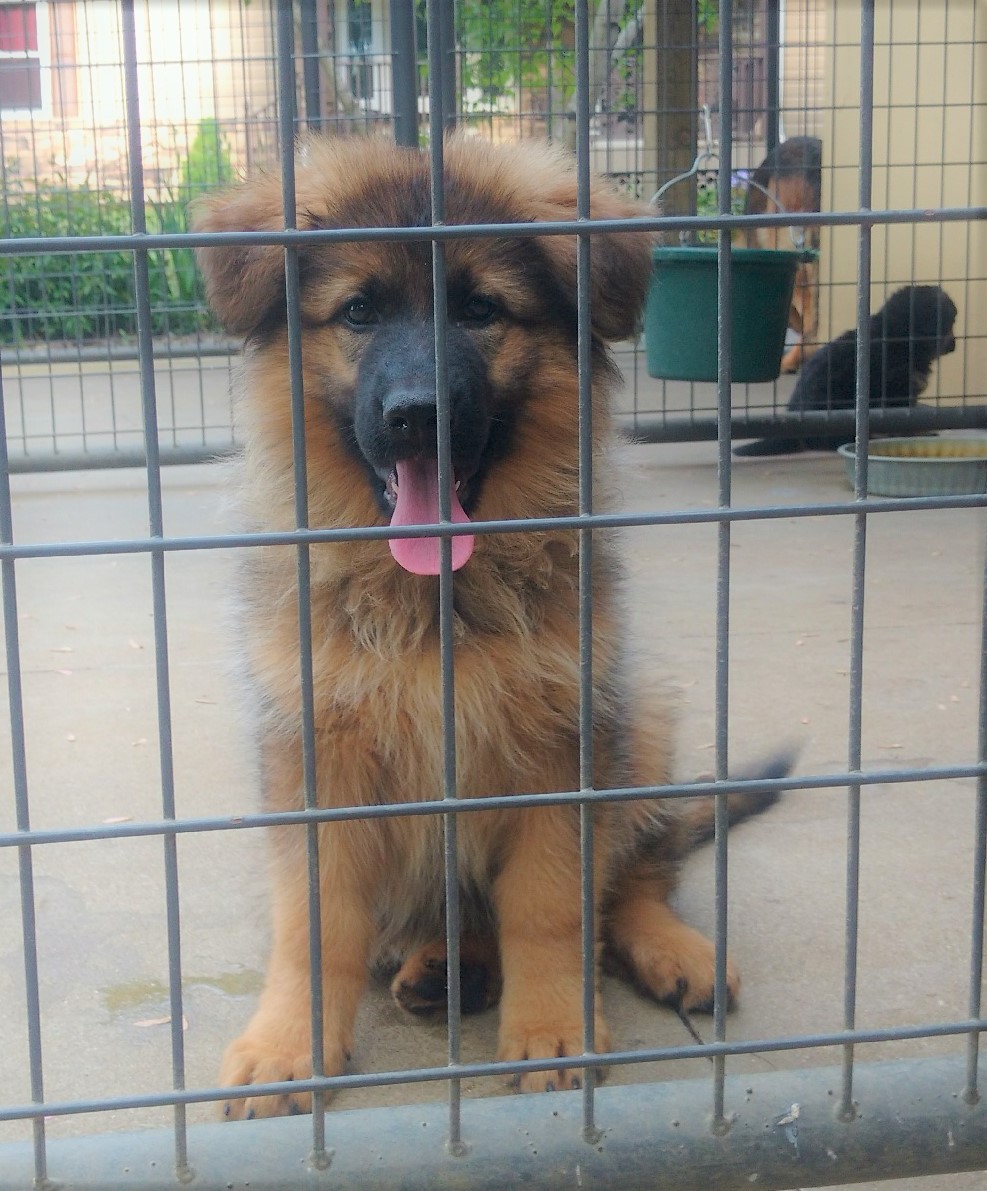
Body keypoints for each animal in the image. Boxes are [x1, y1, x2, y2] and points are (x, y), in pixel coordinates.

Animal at [192, 136, 789, 1119]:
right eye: (358, 311)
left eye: (480, 309)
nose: (417, 415)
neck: (436, 602)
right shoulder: (315, 754)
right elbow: (314, 919)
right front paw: (288, 1045)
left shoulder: (561, 743)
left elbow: (550, 904)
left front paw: (551, 1029)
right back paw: (446, 964)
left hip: (640, 717)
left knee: (634, 870)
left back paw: (667, 948)